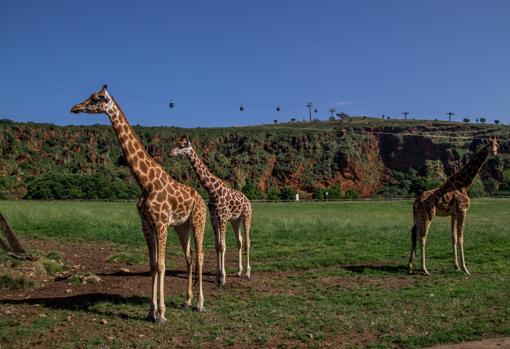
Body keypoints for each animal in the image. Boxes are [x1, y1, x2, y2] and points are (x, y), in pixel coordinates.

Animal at [70, 85, 208, 322]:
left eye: (97, 98)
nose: (75, 108)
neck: (145, 182)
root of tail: (201, 200)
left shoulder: (161, 223)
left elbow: (161, 265)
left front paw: (161, 314)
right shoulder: (146, 225)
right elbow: (152, 265)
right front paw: (150, 311)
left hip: (199, 221)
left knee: (199, 256)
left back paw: (200, 304)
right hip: (182, 226)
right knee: (189, 257)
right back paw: (187, 301)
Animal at [170, 136, 252, 286]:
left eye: (182, 146)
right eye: (176, 143)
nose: (171, 153)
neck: (212, 190)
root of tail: (248, 200)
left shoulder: (223, 217)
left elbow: (223, 246)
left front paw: (223, 278)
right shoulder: (214, 219)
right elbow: (217, 246)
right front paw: (217, 276)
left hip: (246, 216)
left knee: (248, 241)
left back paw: (248, 273)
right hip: (235, 220)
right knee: (240, 240)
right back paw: (239, 271)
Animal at [408, 136, 500, 274]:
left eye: (497, 144)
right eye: (490, 144)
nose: (494, 152)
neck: (464, 184)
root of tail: (415, 202)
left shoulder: (454, 214)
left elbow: (454, 237)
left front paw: (456, 266)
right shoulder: (463, 210)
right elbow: (461, 238)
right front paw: (465, 269)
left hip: (418, 216)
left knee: (415, 234)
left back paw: (410, 267)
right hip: (428, 215)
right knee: (422, 237)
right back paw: (424, 269)